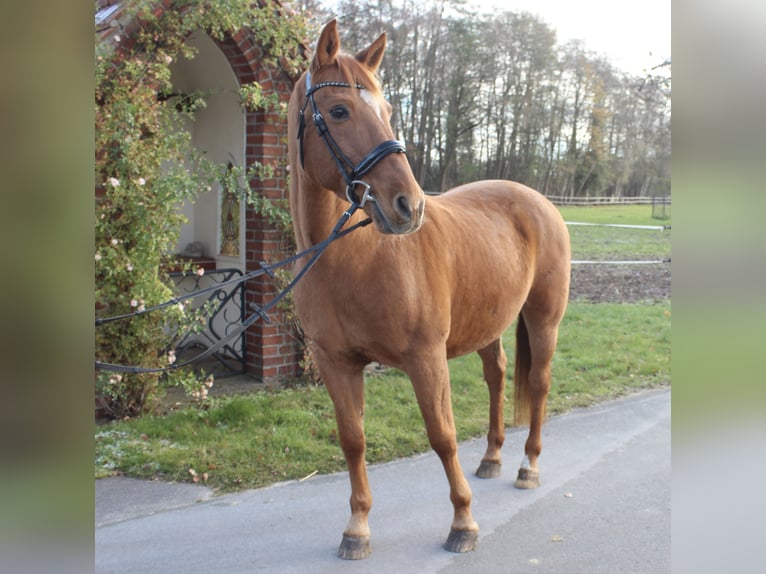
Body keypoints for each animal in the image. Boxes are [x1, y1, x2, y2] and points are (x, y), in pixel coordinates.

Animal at [286, 19, 570, 560]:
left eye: (387, 111)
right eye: (339, 110)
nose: (408, 205)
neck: (353, 261)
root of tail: (536, 199)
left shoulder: (425, 357)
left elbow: (442, 436)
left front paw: (463, 523)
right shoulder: (335, 362)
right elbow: (352, 440)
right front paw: (357, 528)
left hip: (544, 318)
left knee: (540, 384)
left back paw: (528, 466)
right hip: (488, 324)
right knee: (498, 375)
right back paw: (493, 458)